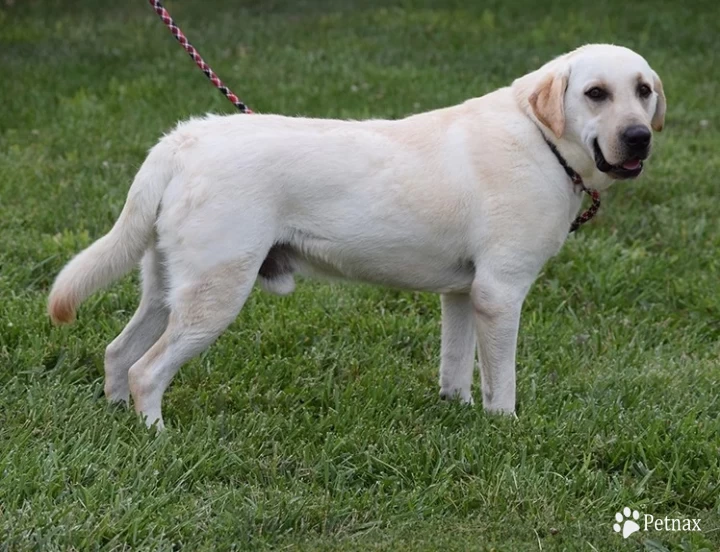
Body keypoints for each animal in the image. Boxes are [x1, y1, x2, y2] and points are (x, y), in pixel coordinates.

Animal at [47, 45, 668, 430]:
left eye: (643, 91)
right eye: (595, 93)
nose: (639, 137)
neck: (541, 138)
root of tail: (184, 140)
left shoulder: (464, 294)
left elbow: (454, 366)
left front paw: (456, 412)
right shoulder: (501, 293)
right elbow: (502, 385)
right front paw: (504, 429)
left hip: (166, 288)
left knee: (118, 353)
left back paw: (118, 420)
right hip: (214, 295)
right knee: (145, 370)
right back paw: (157, 435)